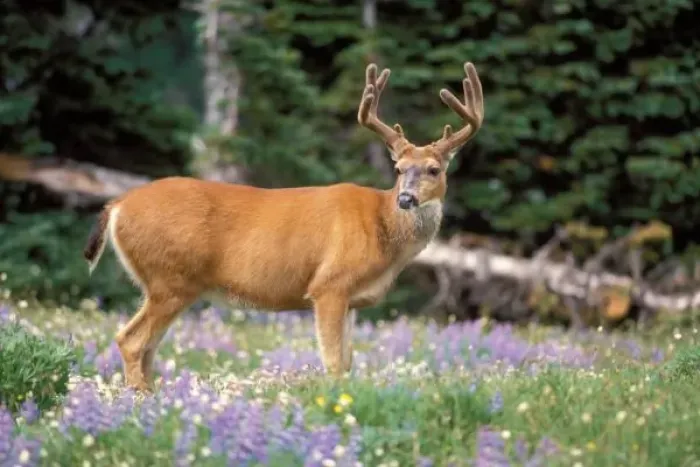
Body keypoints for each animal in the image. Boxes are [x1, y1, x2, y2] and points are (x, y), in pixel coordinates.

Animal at [82, 61, 484, 392]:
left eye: (434, 169)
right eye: (399, 169)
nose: (406, 199)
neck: (382, 229)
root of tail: (117, 205)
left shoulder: (352, 299)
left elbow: (348, 362)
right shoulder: (329, 285)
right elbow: (334, 363)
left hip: (164, 284)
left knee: (148, 346)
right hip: (170, 278)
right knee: (132, 340)